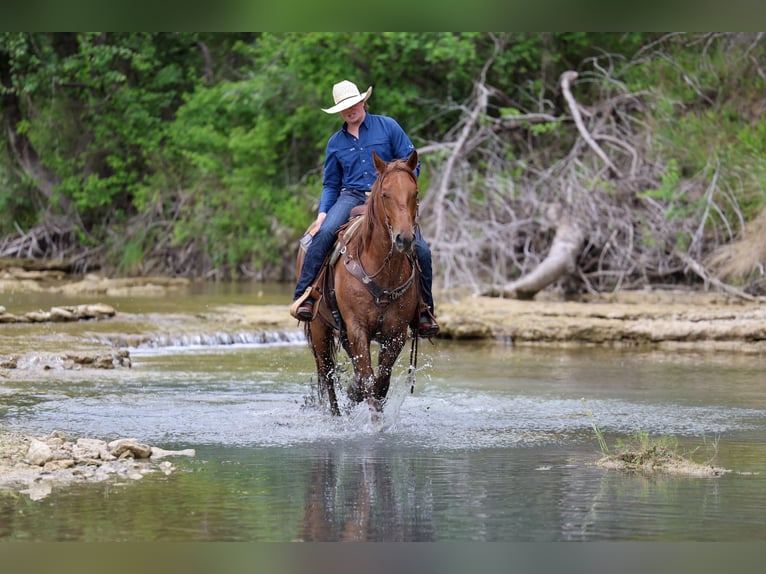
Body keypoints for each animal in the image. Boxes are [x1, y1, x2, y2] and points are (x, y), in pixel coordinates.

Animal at [296, 150, 421, 416]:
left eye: (414, 193)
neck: (383, 271)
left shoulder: (395, 334)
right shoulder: (357, 328)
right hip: (319, 327)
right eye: (385, 194)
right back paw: (335, 416)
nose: (404, 239)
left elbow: (380, 383)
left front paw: (359, 396)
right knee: (326, 373)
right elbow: (368, 380)